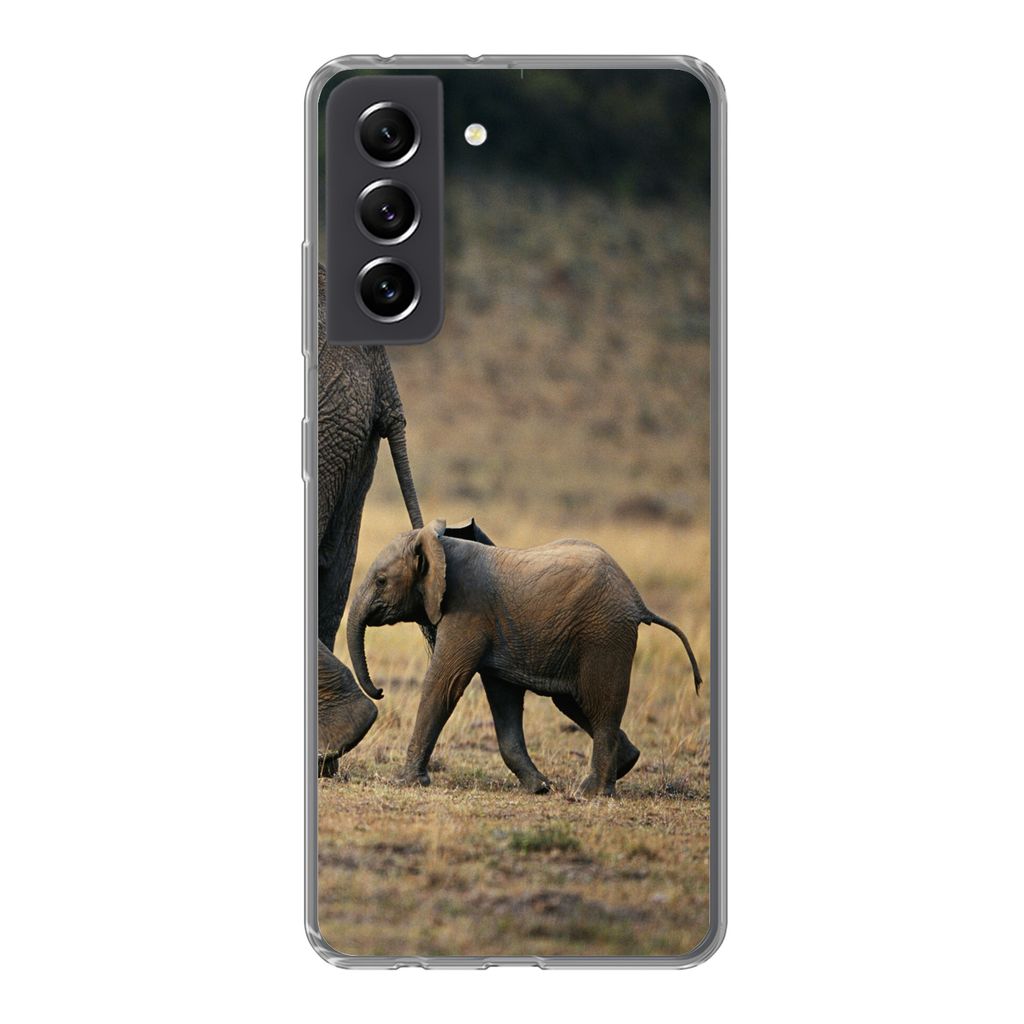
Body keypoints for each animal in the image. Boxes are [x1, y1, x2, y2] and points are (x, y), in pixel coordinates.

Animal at [346, 518, 703, 796]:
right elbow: (502, 697)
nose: (380, 691)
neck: (439, 546)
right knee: (575, 701)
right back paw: (626, 763)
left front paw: (405, 782)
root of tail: (638, 600)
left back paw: (590, 792)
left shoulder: (467, 612)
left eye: (381, 581)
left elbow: (444, 684)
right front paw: (540, 787)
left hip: (605, 635)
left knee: (601, 703)